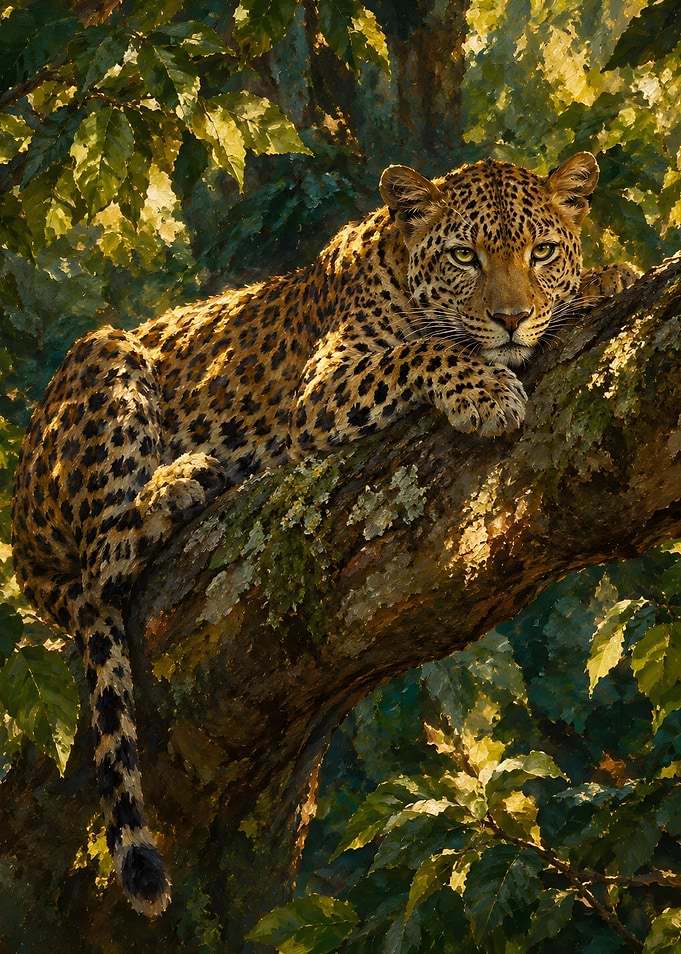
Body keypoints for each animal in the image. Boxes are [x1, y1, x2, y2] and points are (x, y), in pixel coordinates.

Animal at [11, 150, 639, 916]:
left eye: (541, 252)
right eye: (465, 256)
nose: (512, 319)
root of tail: (21, 535)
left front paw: (607, 278)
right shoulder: (319, 392)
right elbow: (423, 349)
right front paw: (486, 391)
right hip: (107, 358)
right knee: (104, 557)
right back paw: (183, 480)